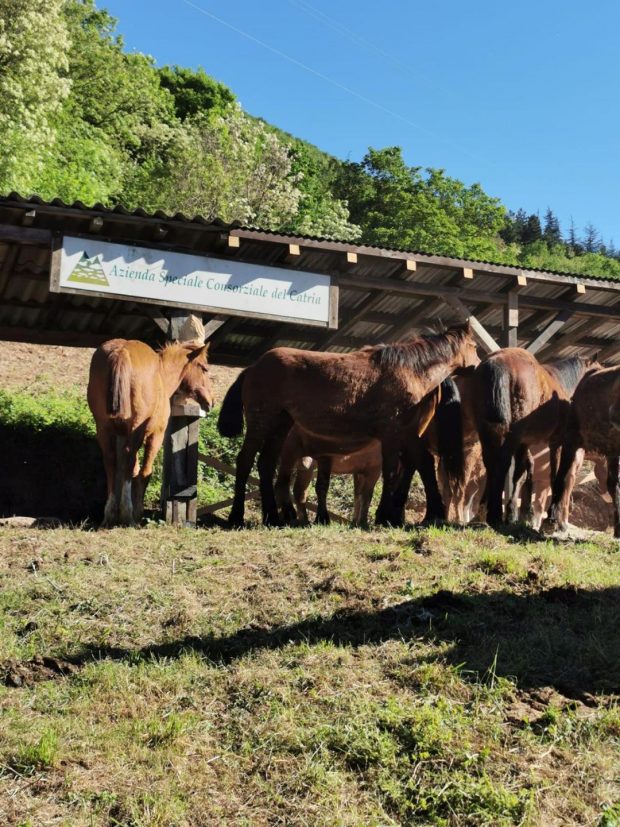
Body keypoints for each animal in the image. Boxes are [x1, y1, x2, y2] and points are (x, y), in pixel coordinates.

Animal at [87, 338, 214, 527]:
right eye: (205, 368)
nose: (212, 401)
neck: (161, 375)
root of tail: (121, 351)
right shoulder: (156, 435)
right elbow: (144, 472)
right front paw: (137, 511)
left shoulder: (122, 435)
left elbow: (131, 469)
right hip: (136, 430)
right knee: (129, 459)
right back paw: (127, 514)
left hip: (103, 427)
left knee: (111, 461)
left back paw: (110, 514)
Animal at [217, 323, 479, 527]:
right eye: (475, 346)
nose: (478, 364)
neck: (409, 370)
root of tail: (253, 367)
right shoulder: (392, 434)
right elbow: (391, 472)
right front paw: (385, 515)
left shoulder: (407, 433)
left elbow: (415, 467)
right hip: (261, 424)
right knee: (246, 461)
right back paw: (237, 516)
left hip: (280, 427)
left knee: (266, 465)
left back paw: (273, 516)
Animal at [471, 349, 594, 526]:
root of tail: (496, 363)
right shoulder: (556, 442)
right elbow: (553, 475)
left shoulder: (524, 442)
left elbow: (524, 470)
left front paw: (521, 512)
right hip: (511, 434)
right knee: (502, 464)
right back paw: (495, 515)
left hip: (487, 431)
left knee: (491, 464)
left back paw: (483, 512)